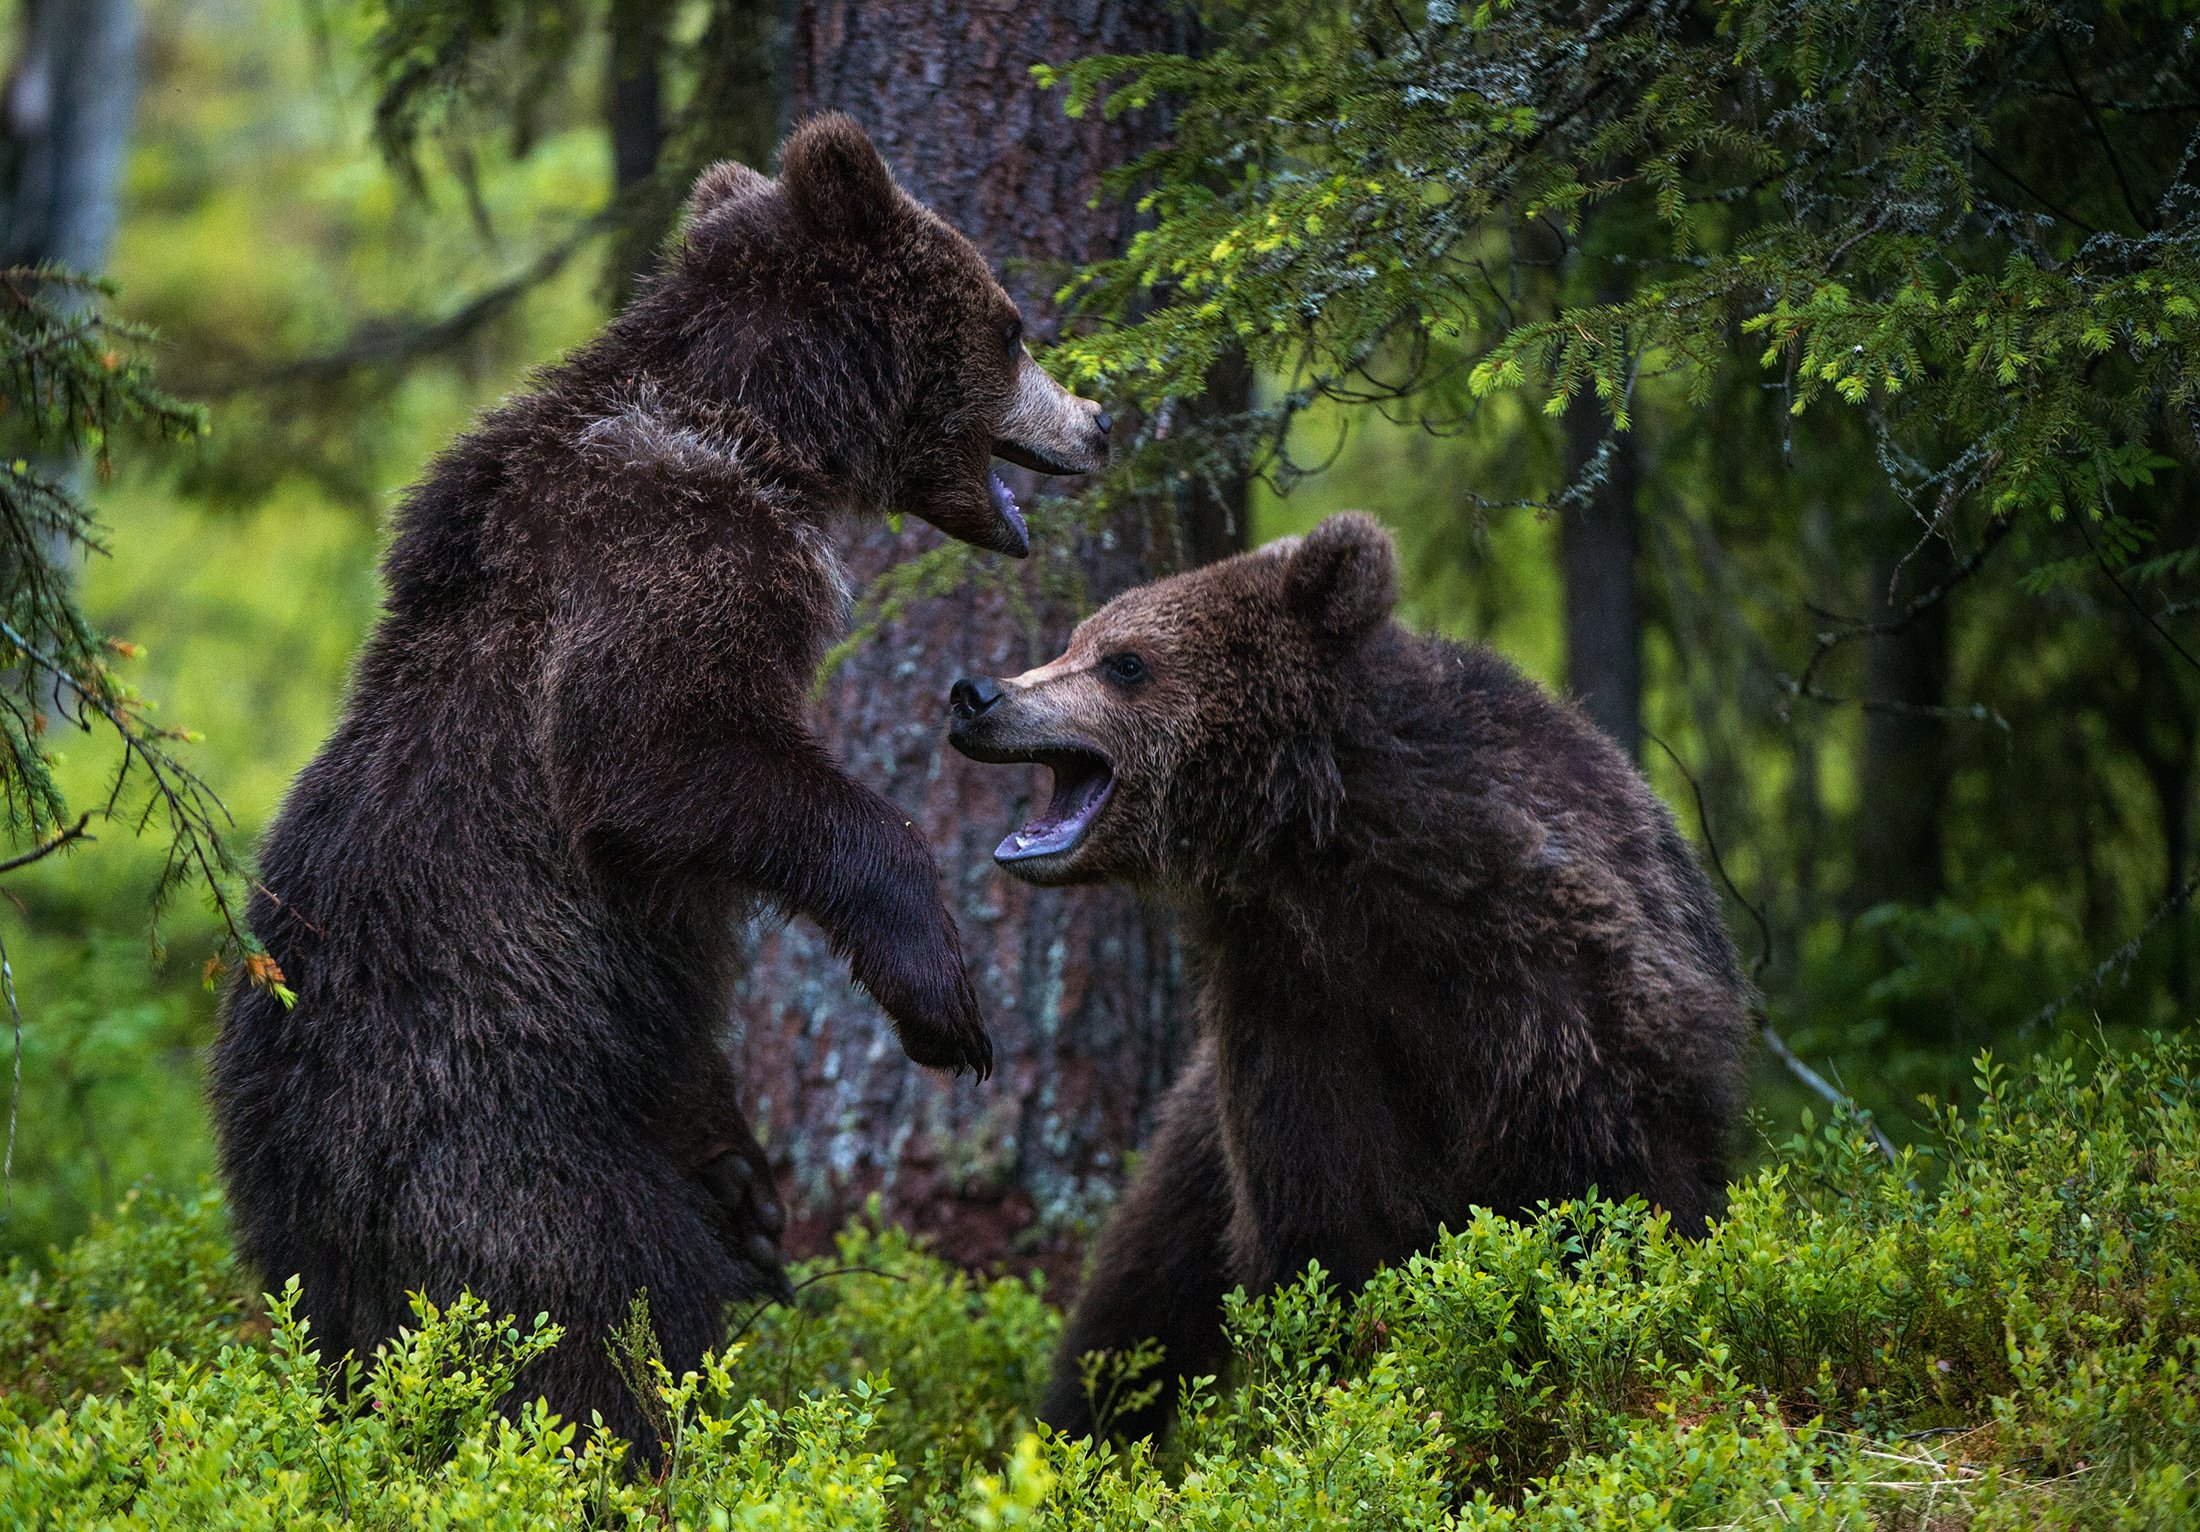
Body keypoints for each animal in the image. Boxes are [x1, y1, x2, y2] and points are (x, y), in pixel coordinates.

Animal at [212, 116, 1108, 1443]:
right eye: (1013, 325)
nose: (1100, 419)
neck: (766, 437)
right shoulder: (663, 553)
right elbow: (670, 759)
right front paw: (944, 998)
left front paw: (755, 1178)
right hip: (497, 1132)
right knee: (606, 1292)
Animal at [946, 510, 1751, 1435]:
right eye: (1075, 640)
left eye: (1125, 661)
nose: (976, 694)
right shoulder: (1292, 1008)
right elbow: (1327, 1216)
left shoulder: (1555, 986)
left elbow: (1613, 1187)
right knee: (1136, 1296)